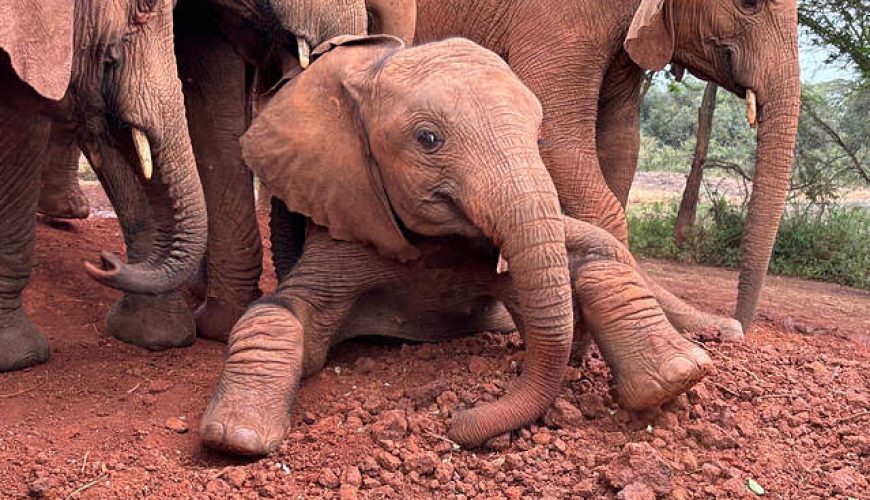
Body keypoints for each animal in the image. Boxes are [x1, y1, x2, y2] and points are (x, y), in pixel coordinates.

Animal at [198, 35, 714, 456]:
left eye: (538, 136)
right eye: (428, 138)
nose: (457, 422)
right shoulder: (345, 216)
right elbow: (282, 311)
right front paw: (236, 438)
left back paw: (678, 375)